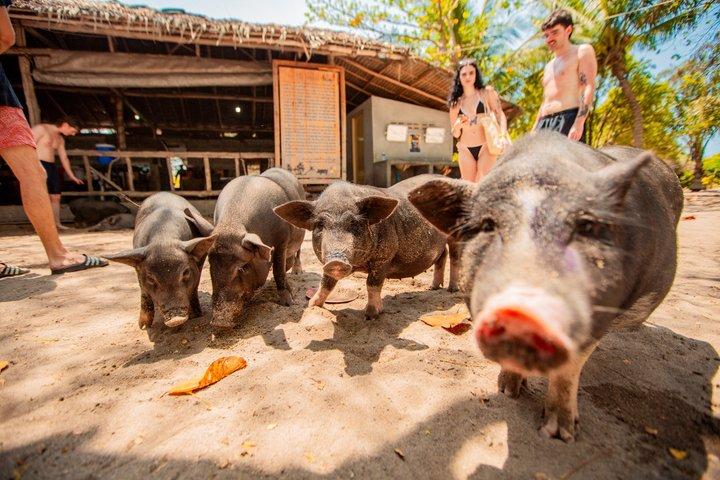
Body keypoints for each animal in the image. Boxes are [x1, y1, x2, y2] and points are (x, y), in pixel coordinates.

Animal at [104, 192, 216, 329]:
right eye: (151, 278)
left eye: (185, 272)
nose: (176, 319)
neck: (164, 239)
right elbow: (144, 292)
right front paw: (143, 326)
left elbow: (194, 287)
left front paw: (196, 316)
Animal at [209, 168, 305, 328]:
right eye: (210, 266)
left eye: (242, 268)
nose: (219, 321)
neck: (232, 225)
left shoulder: (282, 238)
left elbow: (278, 269)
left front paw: (289, 303)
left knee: (298, 251)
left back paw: (297, 272)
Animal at [274, 175, 457, 320]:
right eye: (319, 225)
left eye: (355, 223)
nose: (336, 261)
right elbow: (326, 283)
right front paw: (311, 305)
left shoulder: (384, 257)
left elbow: (372, 283)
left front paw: (371, 315)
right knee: (442, 256)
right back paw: (433, 287)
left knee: (454, 258)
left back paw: (452, 290)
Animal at [407, 132, 683, 441]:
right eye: (488, 225)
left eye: (586, 226)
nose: (523, 308)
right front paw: (507, 391)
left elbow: (569, 370)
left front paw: (560, 434)